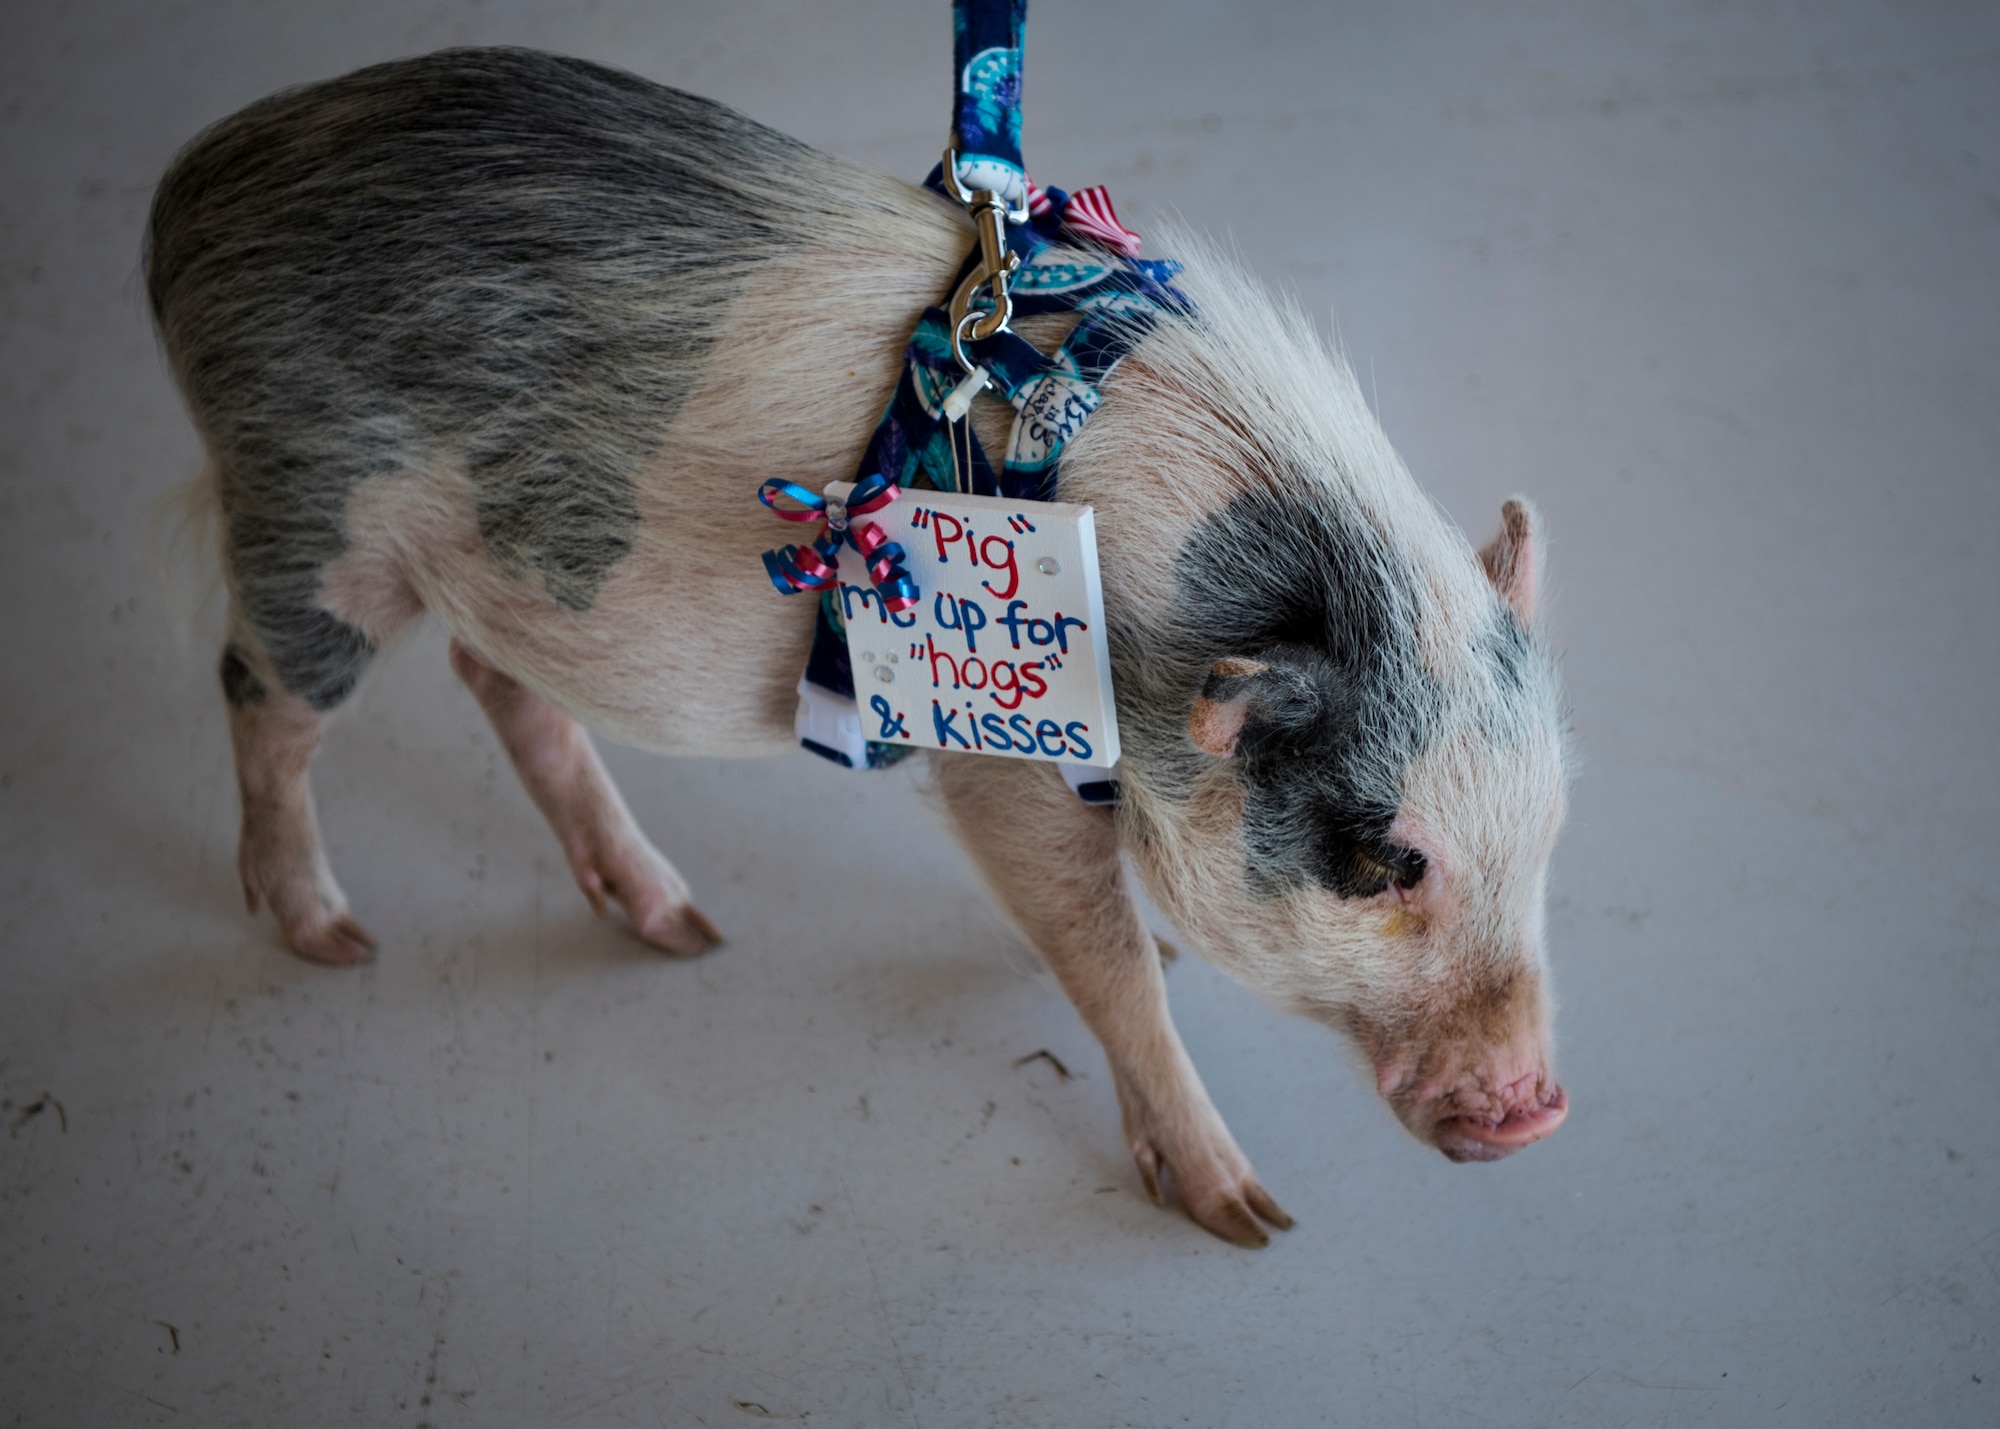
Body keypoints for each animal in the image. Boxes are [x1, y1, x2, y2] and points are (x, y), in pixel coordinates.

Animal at [145, 47, 1576, 1248]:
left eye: (1551, 831)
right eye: (1386, 861)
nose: (1540, 1114)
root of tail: (182, 199)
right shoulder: (1002, 760)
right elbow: (1106, 961)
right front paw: (1247, 1217)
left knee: (493, 680)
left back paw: (679, 930)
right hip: (308, 514)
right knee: (259, 691)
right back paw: (332, 938)